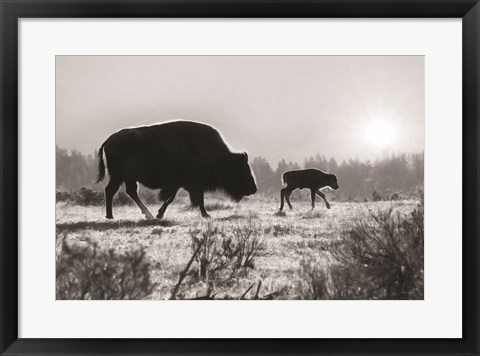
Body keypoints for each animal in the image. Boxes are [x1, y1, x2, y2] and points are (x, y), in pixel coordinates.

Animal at [95, 121, 256, 218]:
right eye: (242, 169)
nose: (253, 189)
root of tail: (108, 141)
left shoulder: (184, 184)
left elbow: (179, 198)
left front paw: (160, 214)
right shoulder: (188, 183)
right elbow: (179, 198)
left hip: (127, 177)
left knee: (130, 192)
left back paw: (147, 214)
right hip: (118, 176)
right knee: (111, 190)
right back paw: (111, 216)